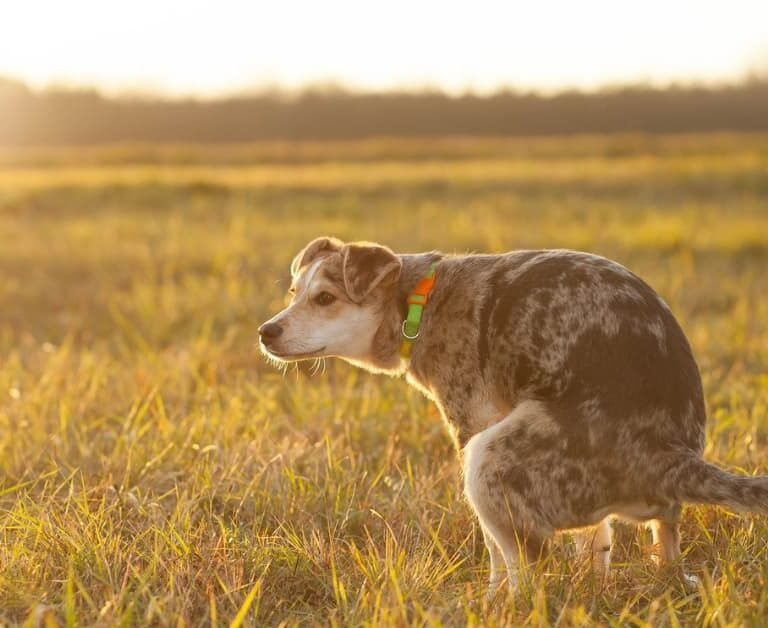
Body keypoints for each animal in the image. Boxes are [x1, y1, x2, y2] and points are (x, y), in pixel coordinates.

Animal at [260, 237, 768, 592]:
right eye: (292, 292)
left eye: (325, 299)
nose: (266, 331)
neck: (417, 303)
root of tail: (672, 459)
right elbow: (594, 541)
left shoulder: (471, 425)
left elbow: (494, 552)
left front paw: (491, 598)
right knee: (640, 544)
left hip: (491, 459)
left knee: (530, 568)